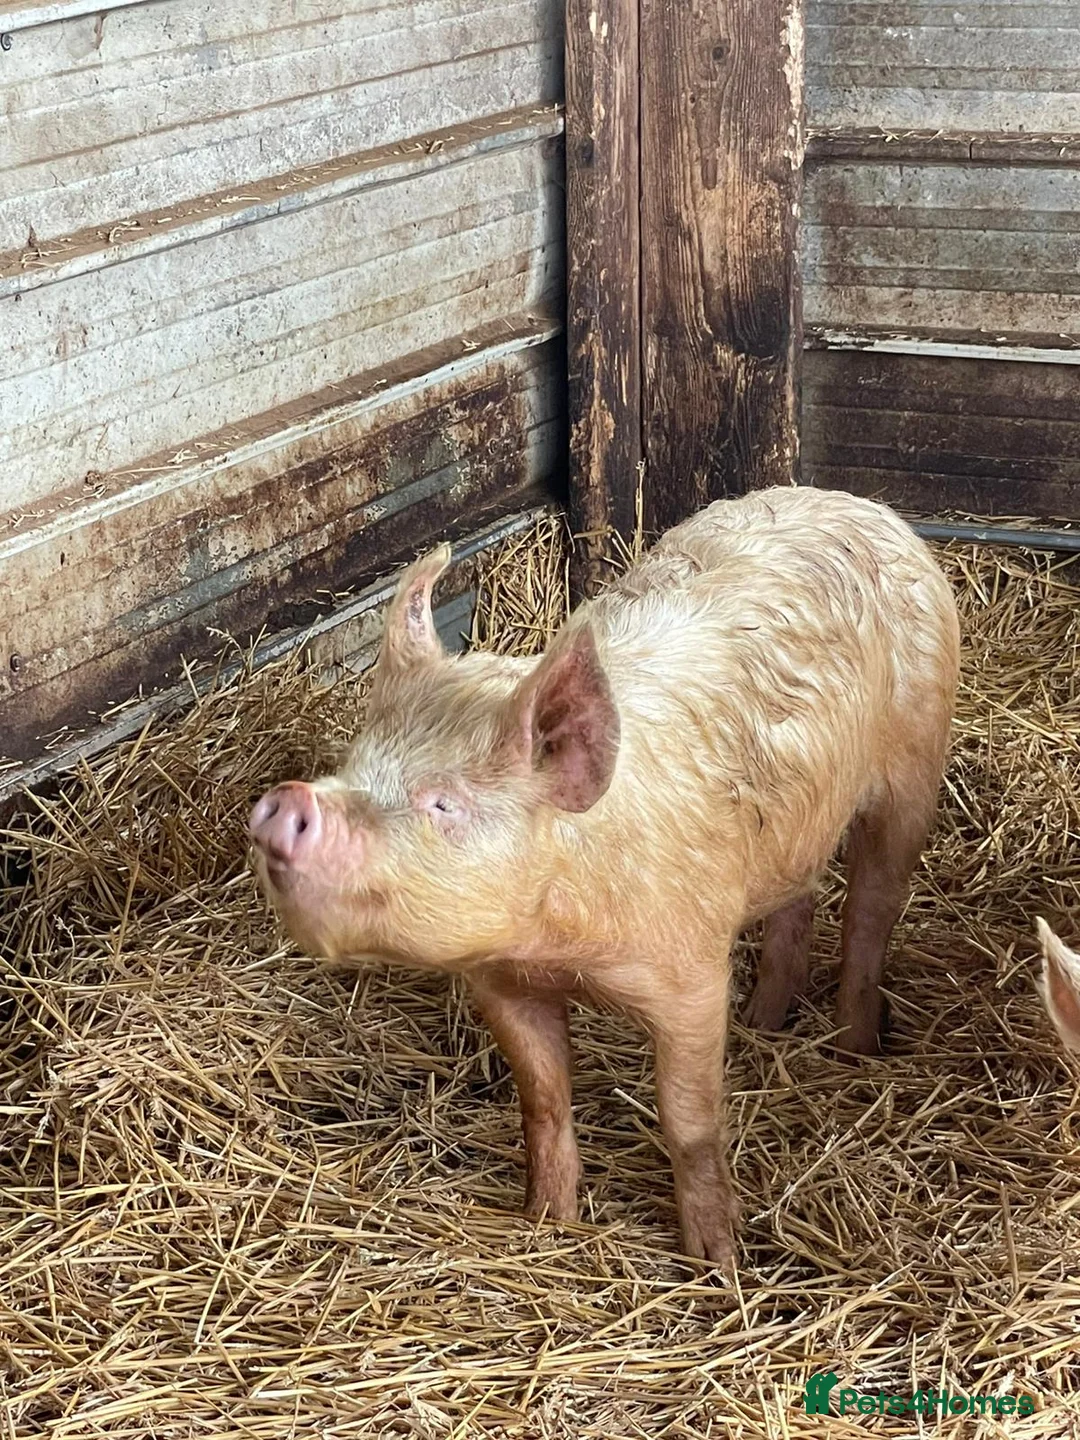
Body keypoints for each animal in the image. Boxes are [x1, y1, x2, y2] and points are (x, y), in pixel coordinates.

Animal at [249, 485, 960, 1268]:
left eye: (443, 802)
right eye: (350, 767)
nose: (284, 803)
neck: (566, 947)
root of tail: (859, 503)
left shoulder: (692, 972)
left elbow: (688, 1122)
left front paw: (717, 1261)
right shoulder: (501, 980)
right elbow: (542, 1098)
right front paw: (546, 1223)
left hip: (915, 766)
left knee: (871, 909)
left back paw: (851, 1049)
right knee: (797, 899)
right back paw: (763, 1023)